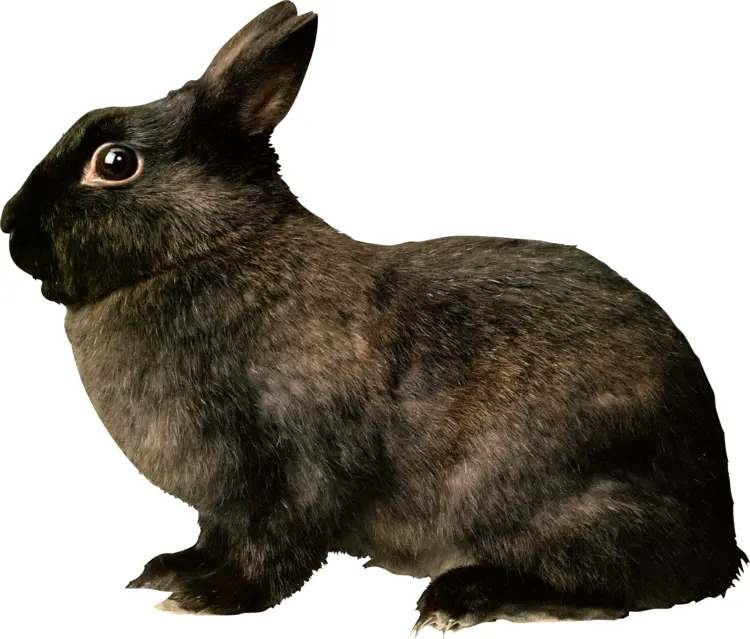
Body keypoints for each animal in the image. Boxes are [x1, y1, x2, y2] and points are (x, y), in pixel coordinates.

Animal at [0, 1, 745, 633]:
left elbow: (276, 547)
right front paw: (170, 571)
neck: (210, 247)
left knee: (603, 589)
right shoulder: (222, 503)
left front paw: (210, 599)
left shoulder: (294, 465)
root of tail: (721, 539)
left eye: (115, 162)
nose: (11, 224)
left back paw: (460, 599)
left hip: (550, 501)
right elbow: (213, 535)